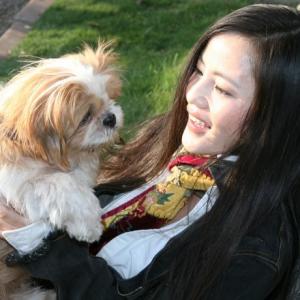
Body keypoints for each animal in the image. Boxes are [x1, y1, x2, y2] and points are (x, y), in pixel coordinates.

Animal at [0, 42, 123, 300]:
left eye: (109, 98)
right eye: (85, 116)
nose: (111, 118)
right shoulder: (18, 183)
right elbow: (61, 183)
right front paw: (89, 226)